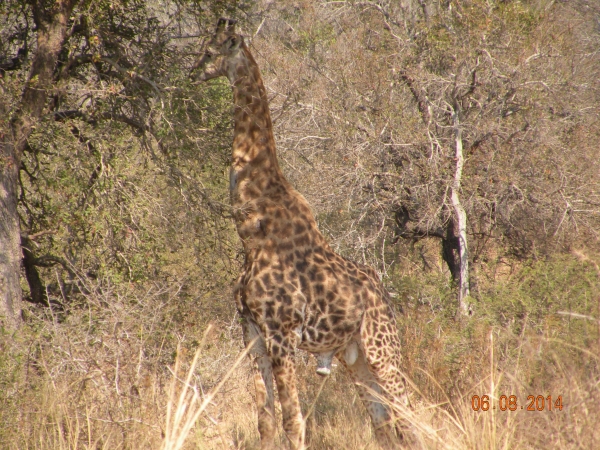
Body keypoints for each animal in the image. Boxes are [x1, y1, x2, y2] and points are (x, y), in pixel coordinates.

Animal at [191, 18, 412, 450]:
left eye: (210, 51)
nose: (192, 73)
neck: (252, 229)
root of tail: (385, 296)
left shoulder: (281, 335)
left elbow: (293, 422)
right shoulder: (252, 335)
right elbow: (265, 421)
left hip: (383, 351)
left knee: (414, 415)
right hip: (354, 356)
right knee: (382, 422)